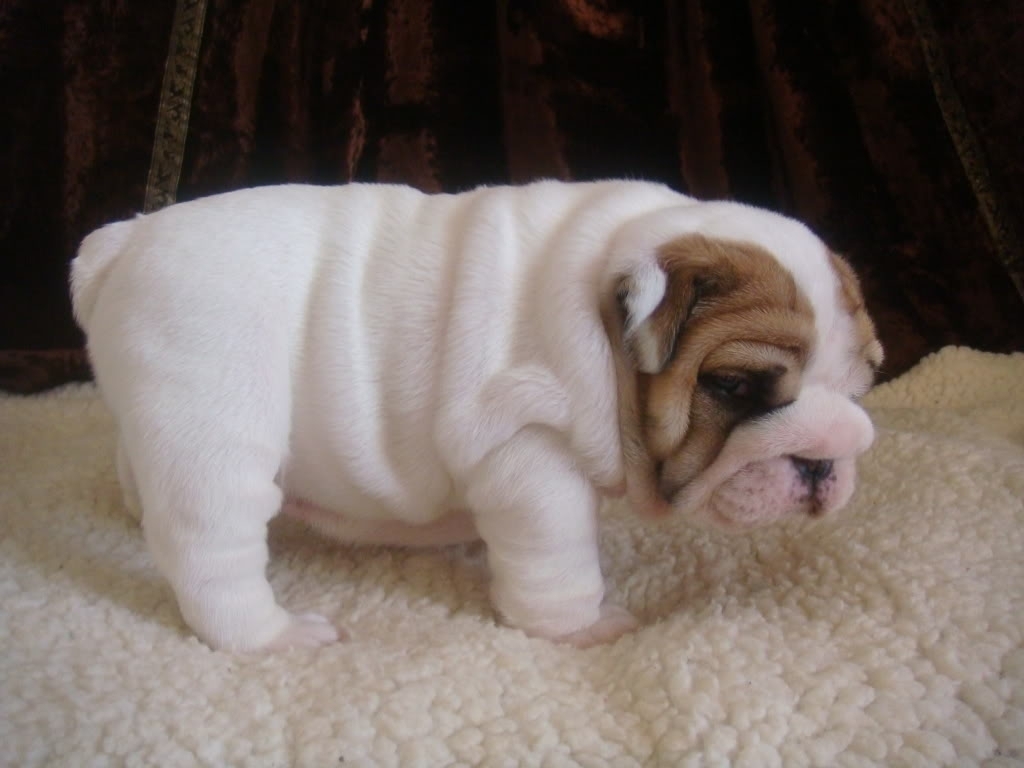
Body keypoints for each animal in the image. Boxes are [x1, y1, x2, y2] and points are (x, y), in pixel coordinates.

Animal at [72, 179, 884, 651]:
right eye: (736, 386)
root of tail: (127, 239)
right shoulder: (530, 448)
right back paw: (273, 637)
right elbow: (559, 555)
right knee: (210, 552)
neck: (600, 323)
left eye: (862, 384)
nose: (826, 457)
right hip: (214, 431)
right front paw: (579, 628)